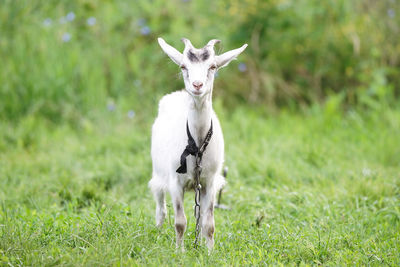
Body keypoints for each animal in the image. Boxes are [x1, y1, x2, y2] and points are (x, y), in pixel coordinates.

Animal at [148, 36, 245, 251]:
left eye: (213, 66)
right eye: (183, 66)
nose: (197, 85)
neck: (197, 143)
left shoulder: (209, 181)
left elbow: (208, 223)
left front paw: (209, 252)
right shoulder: (175, 181)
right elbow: (180, 222)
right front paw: (180, 252)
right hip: (158, 171)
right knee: (160, 205)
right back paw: (158, 232)